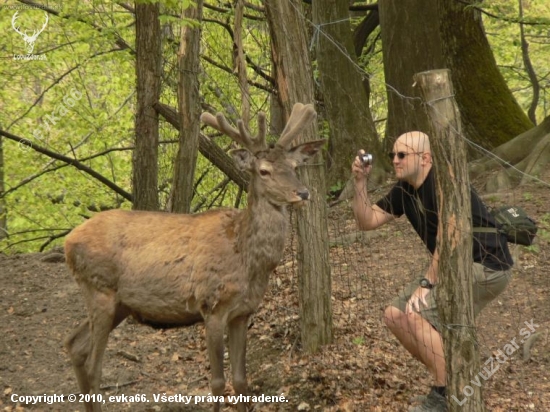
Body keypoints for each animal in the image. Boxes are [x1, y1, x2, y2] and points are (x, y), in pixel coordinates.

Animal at [63, 103, 328, 412]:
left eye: (295, 167)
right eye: (264, 171)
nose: (303, 193)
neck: (246, 259)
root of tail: (67, 241)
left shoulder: (242, 312)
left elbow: (241, 380)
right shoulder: (211, 305)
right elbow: (217, 383)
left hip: (120, 304)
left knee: (74, 345)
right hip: (99, 288)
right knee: (94, 366)